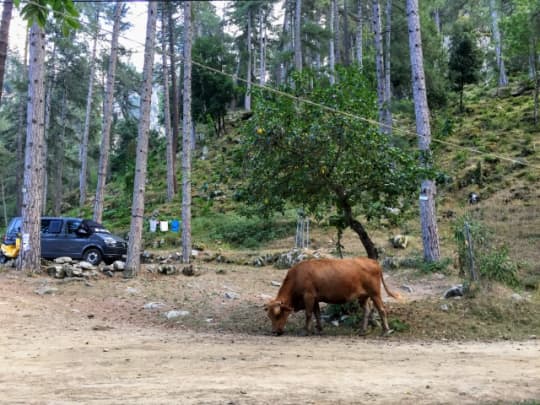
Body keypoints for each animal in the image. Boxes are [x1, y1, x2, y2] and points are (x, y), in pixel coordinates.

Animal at [264, 258, 398, 336]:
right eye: (269, 316)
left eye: (278, 315)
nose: (274, 332)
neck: (297, 276)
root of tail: (373, 261)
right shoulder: (315, 299)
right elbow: (317, 314)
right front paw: (319, 329)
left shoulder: (308, 296)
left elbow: (308, 314)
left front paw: (306, 330)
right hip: (363, 296)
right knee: (367, 310)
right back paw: (362, 331)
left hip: (375, 294)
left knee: (382, 310)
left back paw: (386, 331)